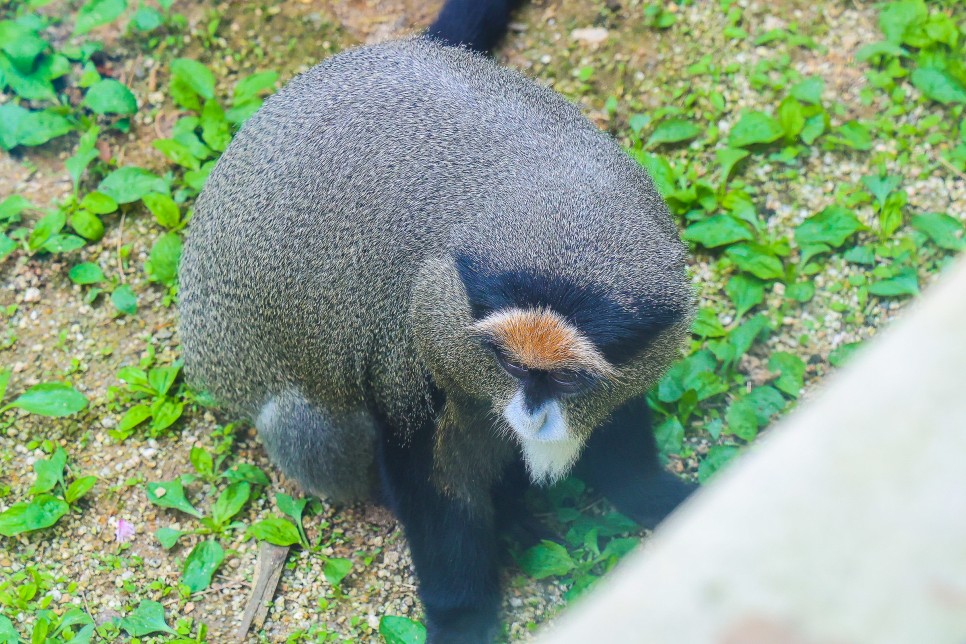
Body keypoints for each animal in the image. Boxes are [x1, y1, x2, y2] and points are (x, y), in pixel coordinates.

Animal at [178, 2, 700, 640]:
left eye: (568, 378)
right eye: (509, 364)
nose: (533, 414)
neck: (548, 195)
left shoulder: (634, 345)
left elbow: (618, 426)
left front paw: (662, 499)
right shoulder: (414, 343)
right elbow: (429, 475)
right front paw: (462, 617)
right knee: (309, 424)